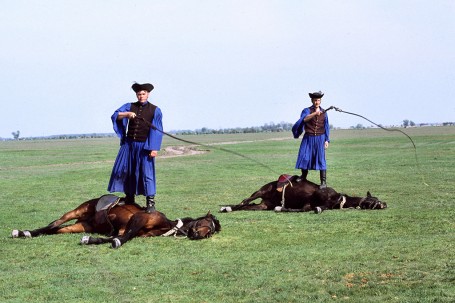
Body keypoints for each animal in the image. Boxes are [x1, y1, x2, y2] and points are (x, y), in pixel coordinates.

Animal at [11, 195, 222, 249]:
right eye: (207, 222)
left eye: (212, 230)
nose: (202, 235)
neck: (167, 224)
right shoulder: (138, 219)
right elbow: (125, 236)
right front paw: (117, 242)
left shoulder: (128, 229)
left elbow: (114, 236)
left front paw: (90, 240)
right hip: (76, 211)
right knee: (54, 223)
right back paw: (24, 232)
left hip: (81, 225)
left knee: (55, 230)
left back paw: (26, 233)